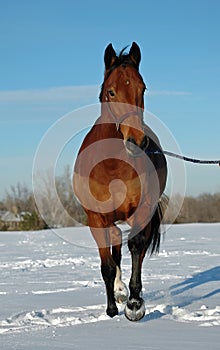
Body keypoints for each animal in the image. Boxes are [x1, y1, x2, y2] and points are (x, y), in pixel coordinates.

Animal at [73, 42, 168, 322]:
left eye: (142, 88)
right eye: (111, 91)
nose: (136, 141)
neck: (111, 166)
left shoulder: (142, 210)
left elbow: (135, 248)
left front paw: (135, 304)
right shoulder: (95, 218)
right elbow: (107, 265)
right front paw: (113, 306)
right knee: (114, 244)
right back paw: (117, 292)